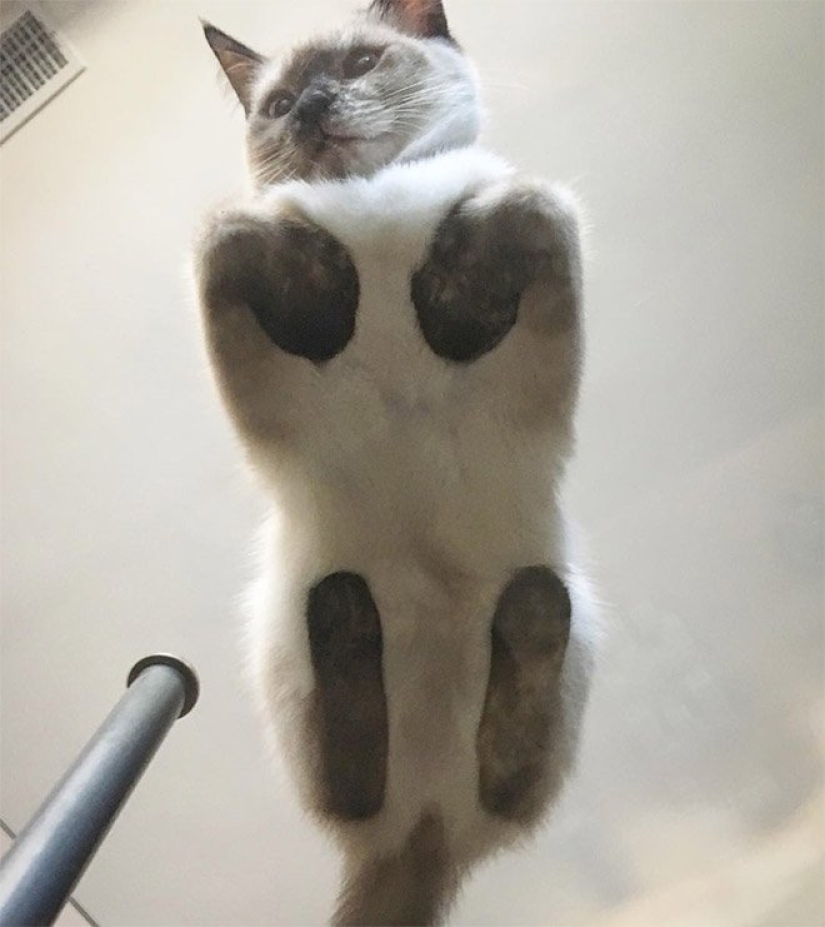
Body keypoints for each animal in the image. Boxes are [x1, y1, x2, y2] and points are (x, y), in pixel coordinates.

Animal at [196, 3, 596, 924]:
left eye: (359, 64)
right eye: (278, 105)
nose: (312, 108)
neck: (371, 198)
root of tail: (424, 832)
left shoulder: (542, 220)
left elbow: (519, 202)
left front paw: (435, 299)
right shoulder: (236, 263)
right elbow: (238, 229)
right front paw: (339, 281)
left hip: (570, 611)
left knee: (505, 759)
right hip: (284, 627)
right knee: (352, 781)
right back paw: (351, 630)